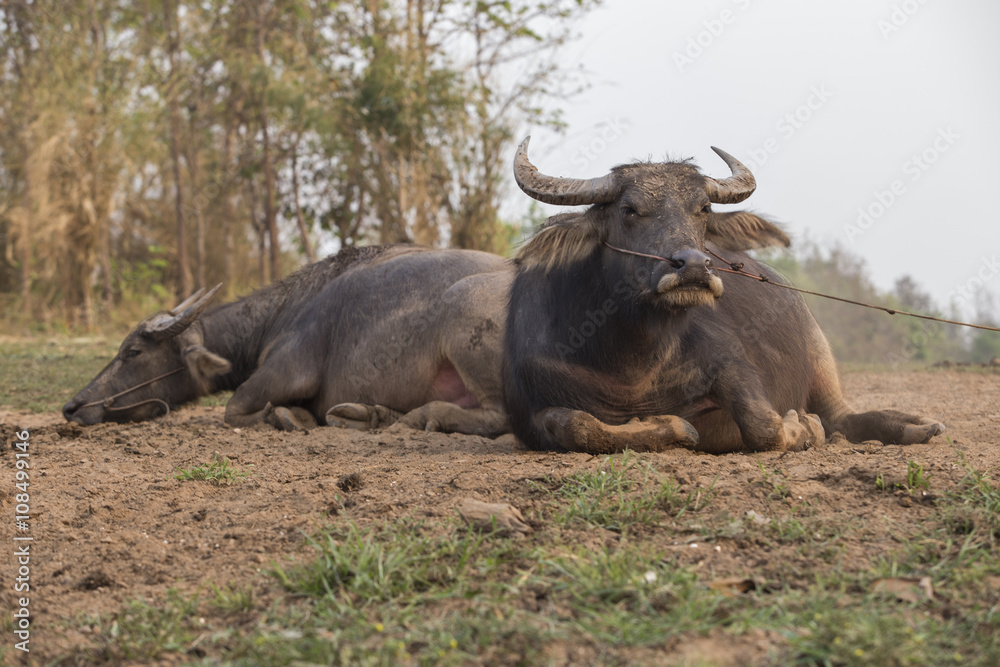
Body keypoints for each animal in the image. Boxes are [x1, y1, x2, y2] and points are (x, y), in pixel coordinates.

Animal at [62, 245, 512, 438]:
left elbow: (232, 410)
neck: (278, 316)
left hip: (462, 310)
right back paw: (372, 415)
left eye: (133, 352)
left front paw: (289, 417)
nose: (73, 406)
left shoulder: (284, 373)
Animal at [504, 138, 948, 456]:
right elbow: (577, 426)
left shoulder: (732, 363)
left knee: (842, 418)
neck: (633, 362)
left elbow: (763, 425)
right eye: (629, 209)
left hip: (819, 349)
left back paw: (915, 425)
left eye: (702, 208)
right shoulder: (528, 412)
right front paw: (671, 427)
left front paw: (802, 427)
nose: (694, 267)